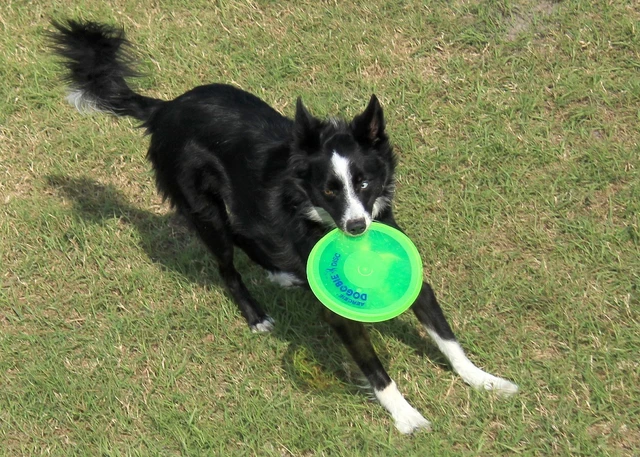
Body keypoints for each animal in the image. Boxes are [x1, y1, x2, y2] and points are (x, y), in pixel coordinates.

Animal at [51, 19, 520, 432]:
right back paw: (256, 315)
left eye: (364, 182)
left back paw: (279, 272)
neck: (319, 216)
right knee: (226, 264)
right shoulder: (340, 314)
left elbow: (448, 340)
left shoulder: (414, 278)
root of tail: (165, 108)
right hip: (204, 211)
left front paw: (486, 381)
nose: (355, 228)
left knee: (245, 233)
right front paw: (407, 418)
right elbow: (376, 370)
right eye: (328, 190)